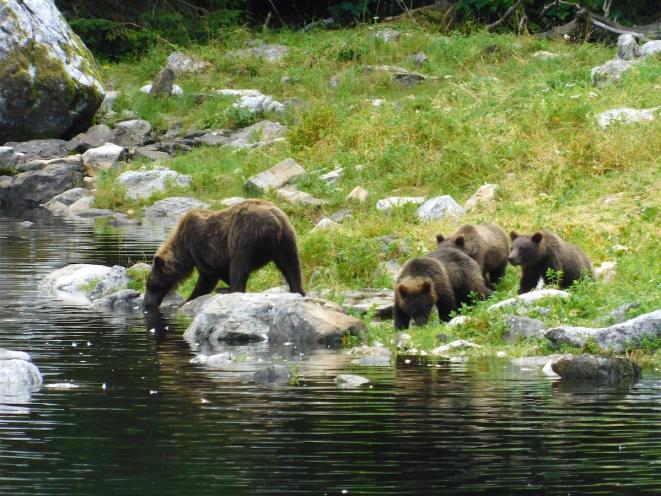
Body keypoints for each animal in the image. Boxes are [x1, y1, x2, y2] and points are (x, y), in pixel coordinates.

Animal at [143, 199, 305, 309]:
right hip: (286, 238)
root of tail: (275, 223)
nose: (146, 303)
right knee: (291, 265)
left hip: (244, 235)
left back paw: (227, 290)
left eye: (150, 284)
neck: (184, 250)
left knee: (239, 264)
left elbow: (208, 277)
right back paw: (297, 290)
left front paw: (185, 301)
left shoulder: (201, 246)